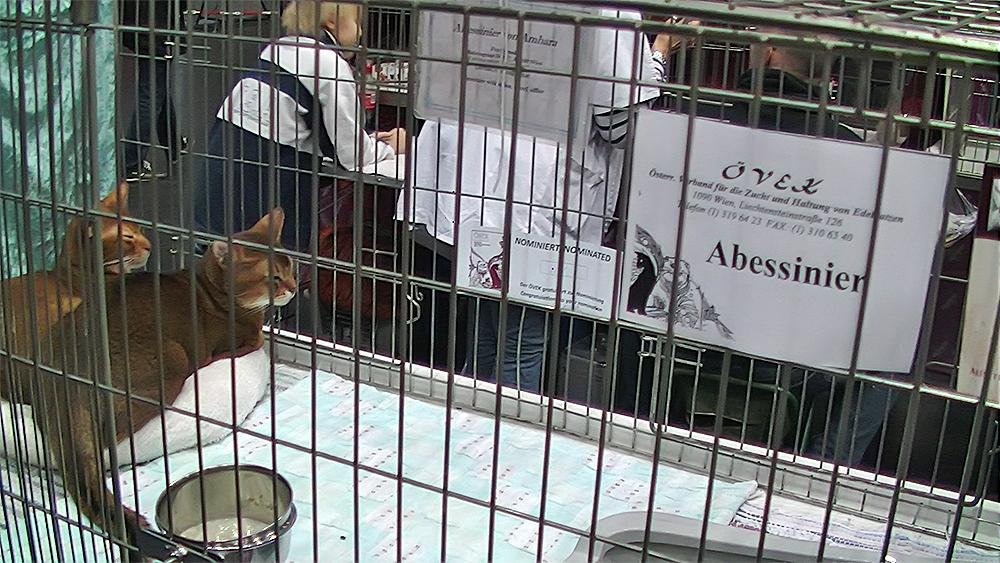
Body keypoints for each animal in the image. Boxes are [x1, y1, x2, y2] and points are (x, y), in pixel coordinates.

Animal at [23, 208, 296, 548]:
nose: (294, 288)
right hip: (171, 361)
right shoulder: (243, 341)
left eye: (292, 267)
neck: (209, 287)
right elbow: (255, 341)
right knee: (109, 440)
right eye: (273, 278)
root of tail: (64, 373)